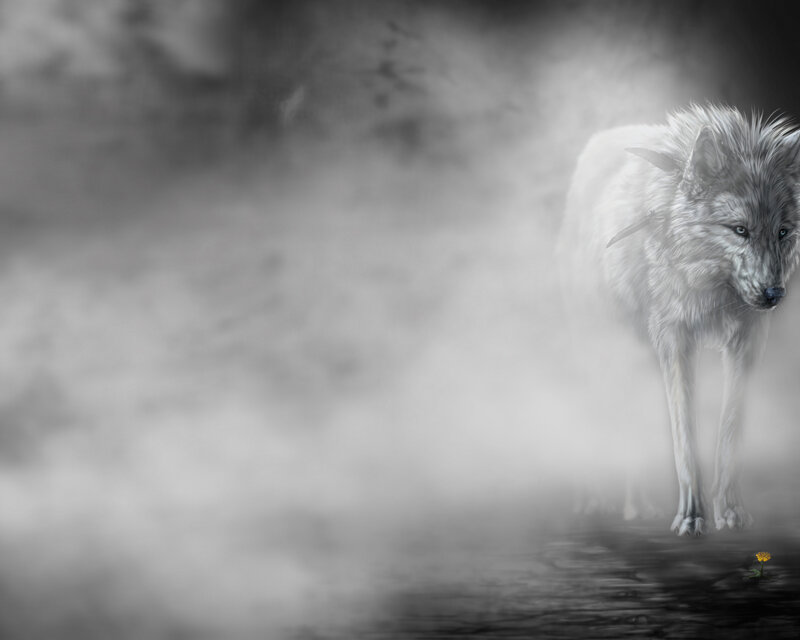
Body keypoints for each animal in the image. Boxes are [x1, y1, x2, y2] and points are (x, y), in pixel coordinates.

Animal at [558, 105, 800, 535]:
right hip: (606, 351)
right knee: (603, 416)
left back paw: (637, 506)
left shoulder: (748, 340)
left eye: (783, 232)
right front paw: (690, 517)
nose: (774, 294)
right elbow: (684, 434)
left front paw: (731, 513)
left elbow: (731, 431)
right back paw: (598, 502)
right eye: (740, 230)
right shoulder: (674, 338)